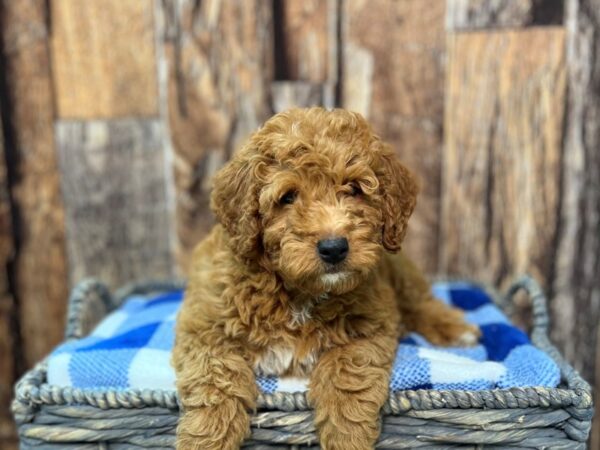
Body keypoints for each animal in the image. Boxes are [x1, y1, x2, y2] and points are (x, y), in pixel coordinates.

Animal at [172, 107, 478, 448]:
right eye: (288, 197)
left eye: (355, 189)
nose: (334, 248)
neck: (297, 292)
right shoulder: (204, 327)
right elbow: (216, 378)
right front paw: (206, 438)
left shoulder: (369, 325)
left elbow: (348, 373)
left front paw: (348, 437)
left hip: (397, 267)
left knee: (419, 301)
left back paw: (457, 329)